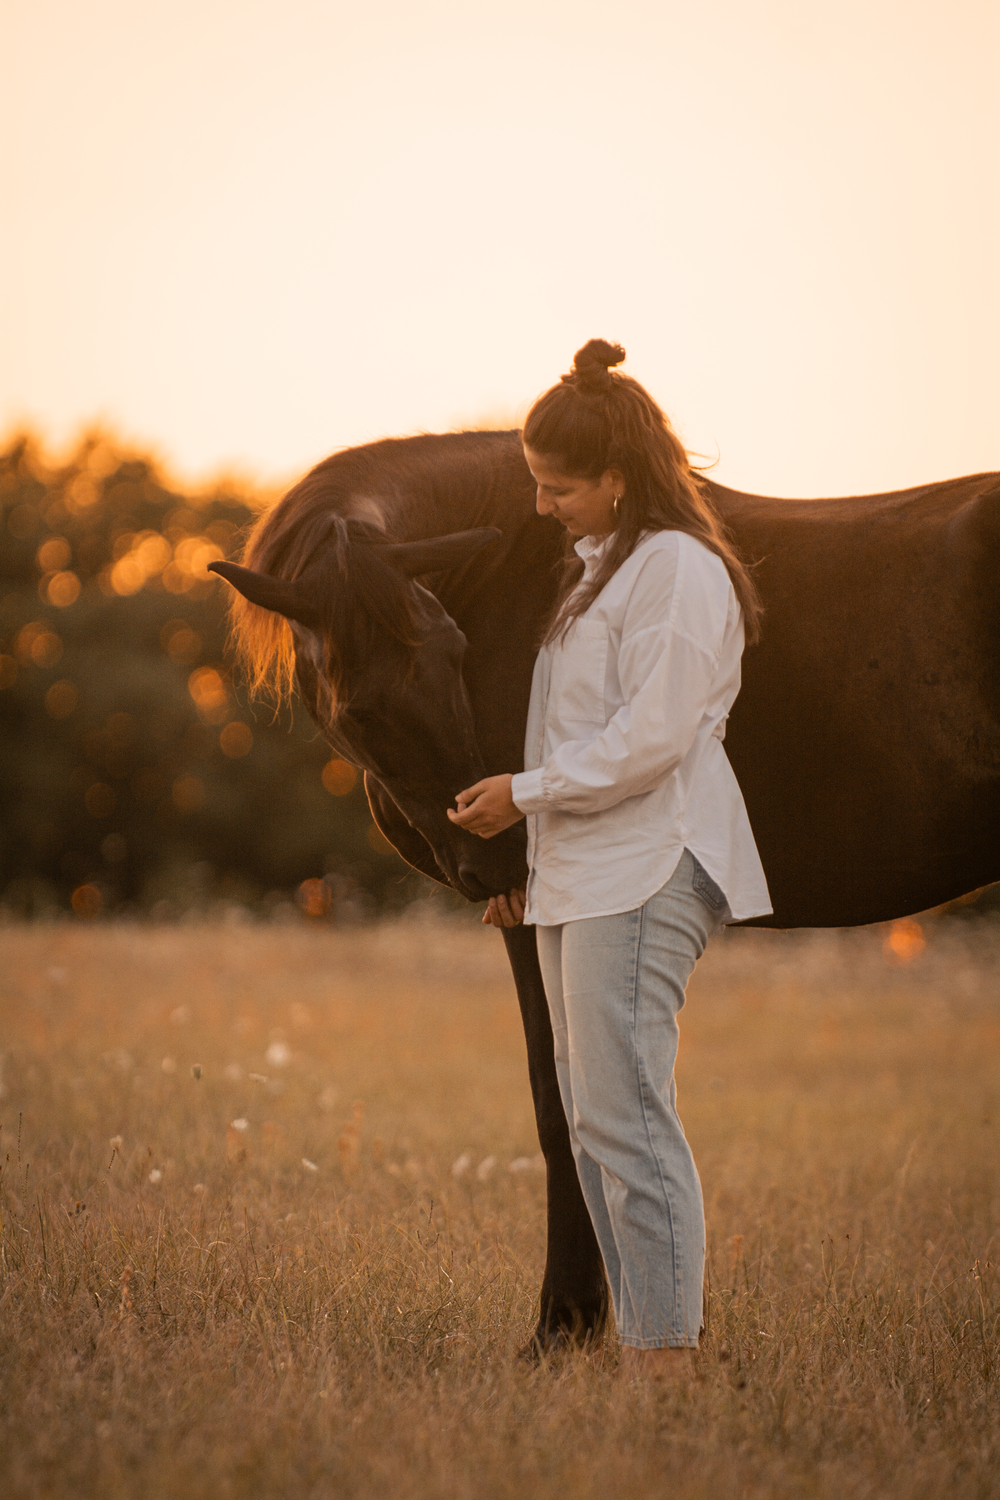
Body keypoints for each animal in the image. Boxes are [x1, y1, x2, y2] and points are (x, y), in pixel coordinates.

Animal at [209, 430, 1000, 1351]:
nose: (509, 855)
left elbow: (560, 1104)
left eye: (454, 652)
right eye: (365, 710)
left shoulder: (532, 921)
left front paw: (564, 1326)